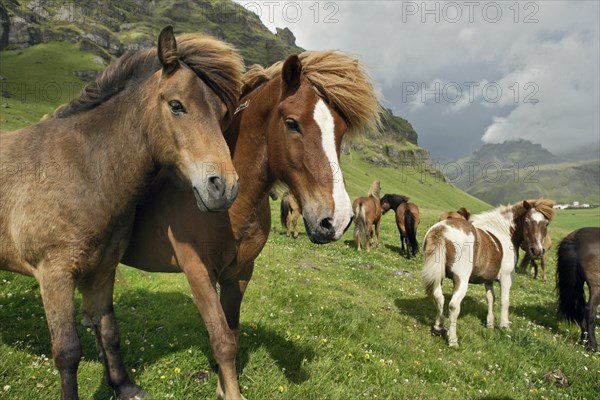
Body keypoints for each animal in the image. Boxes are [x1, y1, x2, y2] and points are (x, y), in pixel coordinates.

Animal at [0, 26, 244, 398]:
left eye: (222, 115)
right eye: (177, 105)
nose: (224, 187)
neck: (82, 170)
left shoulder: (102, 271)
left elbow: (110, 332)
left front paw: (124, 385)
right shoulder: (54, 276)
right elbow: (67, 351)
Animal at [120, 51, 380, 398]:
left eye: (340, 132)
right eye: (292, 124)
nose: (336, 220)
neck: (230, 205)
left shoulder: (239, 274)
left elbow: (231, 335)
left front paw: (224, 386)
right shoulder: (198, 270)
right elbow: (220, 339)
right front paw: (230, 392)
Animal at [422, 200, 552, 346]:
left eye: (546, 224)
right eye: (527, 221)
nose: (537, 251)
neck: (504, 232)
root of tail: (441, 229)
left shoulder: (488, 279)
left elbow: (490, 298)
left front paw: (490, 324)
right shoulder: (506, 278)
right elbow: (504, 301)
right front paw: (504, 326)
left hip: (438, 277)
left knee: (438, 298)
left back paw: (439, 328)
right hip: (461, 280)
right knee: (454, 306)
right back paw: (453, 340)